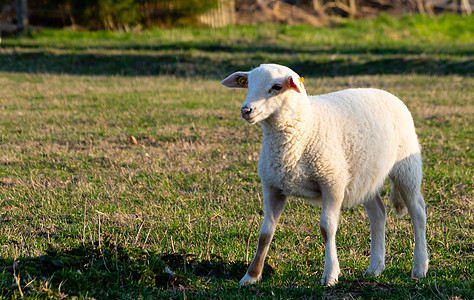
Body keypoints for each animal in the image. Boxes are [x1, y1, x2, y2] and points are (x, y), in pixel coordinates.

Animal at [220, 63, 428, 286]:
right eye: (248, 84)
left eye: (276, 87)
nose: (246, 110)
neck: (304, 129)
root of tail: (386, 93)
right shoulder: (272, 186)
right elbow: (265, 233)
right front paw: (251, 276)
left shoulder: (332, 183)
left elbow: (327, 228)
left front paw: (330, 274)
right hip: (364, 175)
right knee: (378, 213)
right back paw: (375, 268)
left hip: (407, 167)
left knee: (418, 211)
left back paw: (420, 267)